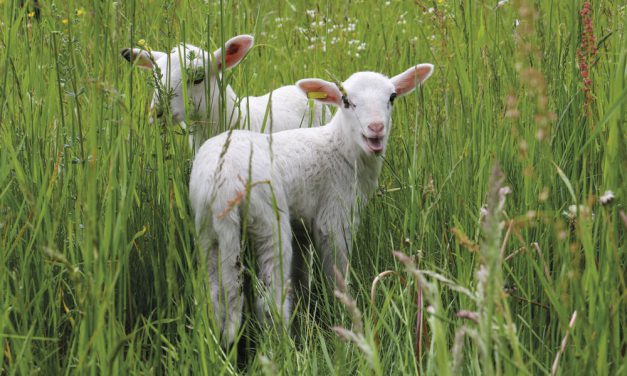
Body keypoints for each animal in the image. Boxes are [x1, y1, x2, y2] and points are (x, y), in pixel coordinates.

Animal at [189, 64, 434, 344]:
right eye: (346, 100)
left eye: (392, 97)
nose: (375, 128)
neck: (340, 147)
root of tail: (224, 182)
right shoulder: (335, 216)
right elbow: (336, 274)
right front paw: (343, 313)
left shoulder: (302, 223)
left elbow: (301, 275)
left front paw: (307, 307)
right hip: (267, 218)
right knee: (269, 300)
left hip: (208, 229)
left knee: (217, 296)